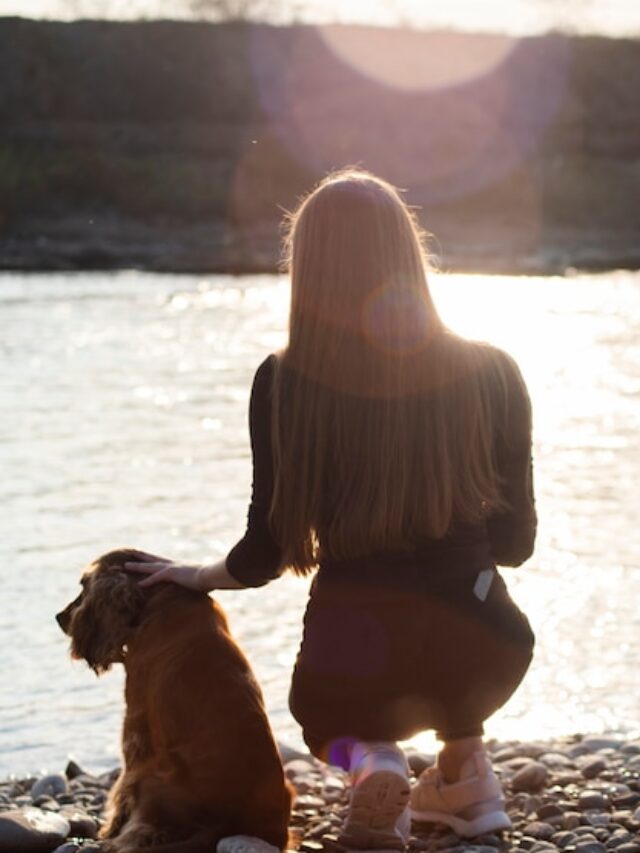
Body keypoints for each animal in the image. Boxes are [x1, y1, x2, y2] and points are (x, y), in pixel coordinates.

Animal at [57, 548, 292, 848]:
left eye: (84, 585)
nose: (59, 617)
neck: (159, 599)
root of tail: (224, 824)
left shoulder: (135, 723)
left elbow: (123, 787)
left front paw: (110, 829)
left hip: (151, 778)